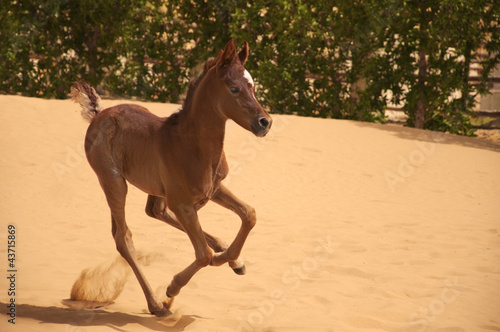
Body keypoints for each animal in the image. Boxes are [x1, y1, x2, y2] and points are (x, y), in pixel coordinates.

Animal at [70, 40, 272, 316]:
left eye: (252, 85)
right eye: (234, 89)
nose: (265, 122)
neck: (191, 145)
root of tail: (99, 113)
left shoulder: (213, 189)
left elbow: (249, 214)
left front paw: (232, 259)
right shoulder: (183, 203)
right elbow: (202, 254)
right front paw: (172, 289)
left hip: (156, 190)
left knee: (154, 211)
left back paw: (231, 260)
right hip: (113, 182)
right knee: (123, 237)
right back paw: (156, 304)